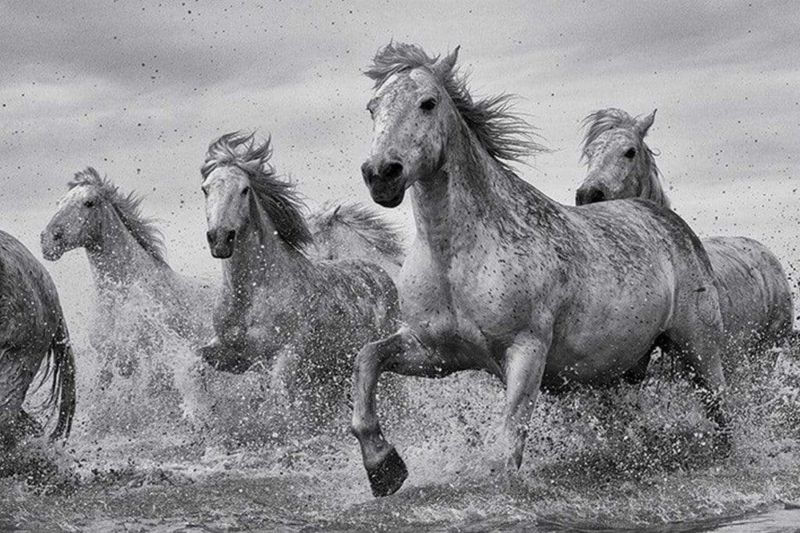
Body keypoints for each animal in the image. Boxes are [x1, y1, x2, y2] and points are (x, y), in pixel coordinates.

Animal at [197, 132, 398, 422]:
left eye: (244, 190)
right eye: (206, 189)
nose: (220, 238)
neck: (250, 295)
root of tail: (379, 274)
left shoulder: (287, 355)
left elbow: (275, 403)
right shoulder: (232, 354)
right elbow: (194, 362)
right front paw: (198, 410)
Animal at [352, 42, 731, 497]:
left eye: (427, 103)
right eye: (372, 108)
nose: (380, 174)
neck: (456, 259)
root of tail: (664, 218)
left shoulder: (526, 350)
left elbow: (510, 437)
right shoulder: (435, 352)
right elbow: (368, 359)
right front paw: (382, 466)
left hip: (699, 350)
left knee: (723, 413)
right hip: (623, 372)